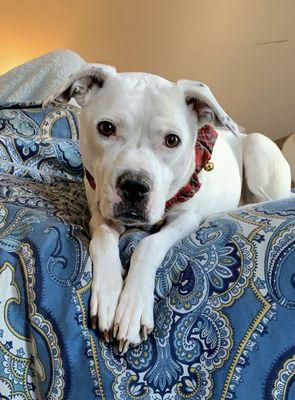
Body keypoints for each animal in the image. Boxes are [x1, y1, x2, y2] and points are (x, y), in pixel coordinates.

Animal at [45, 65, 292, 354]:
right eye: (106, 128)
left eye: (172, 140)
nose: (135, 186)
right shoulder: (100, 213)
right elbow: (104, 239)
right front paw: (108, 294)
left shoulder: (185, 220)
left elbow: (147, 245)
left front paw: (132, 307)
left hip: (258, 150)